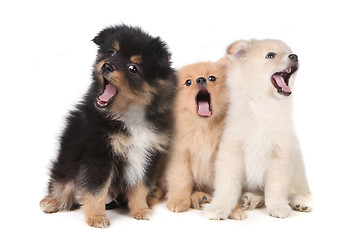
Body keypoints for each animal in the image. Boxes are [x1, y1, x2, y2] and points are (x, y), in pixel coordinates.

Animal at [38, 25, 176, 228]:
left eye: (133, 68)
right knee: (62, 185)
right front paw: (97, 217)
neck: (129, 115)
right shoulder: (100, 153)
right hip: (65, 166)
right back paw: (51, 202)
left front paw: (141, 210)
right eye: (112, 52)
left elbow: (141, 186)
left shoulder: (150, 154)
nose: (107, 65)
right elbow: (97, 189)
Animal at [166, 60, 236, 214]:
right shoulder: (181, 156)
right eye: (188, 82)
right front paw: (178, 201)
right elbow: (181, 181)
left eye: (211, 78)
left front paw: (235, 209)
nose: (201, 79)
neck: (203, 128)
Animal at [204, 39, 314, 219]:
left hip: (297, 165)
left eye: (289, 52)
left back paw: (302, 202)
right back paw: (249, 199)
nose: (295, 56)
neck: (263, 103)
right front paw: (219, 208)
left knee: (296, 189)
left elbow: (276, 187)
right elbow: (227, 187)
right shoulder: (232, 153)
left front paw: (277, 207)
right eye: (270, 55)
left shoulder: (280, 154)